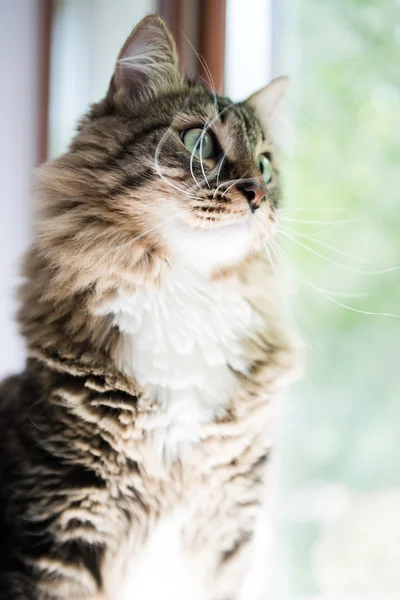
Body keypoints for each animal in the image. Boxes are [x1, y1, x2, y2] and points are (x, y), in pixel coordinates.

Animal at [0, 12, 300, 600]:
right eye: (200, 142)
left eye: (266, 166)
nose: (257, 195)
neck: (184, 297)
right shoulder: (60, 523)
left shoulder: (227, 528)